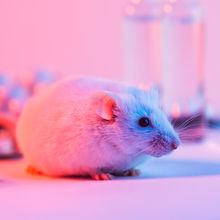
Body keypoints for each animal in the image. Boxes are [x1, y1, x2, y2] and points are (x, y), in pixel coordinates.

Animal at [15, 77, 180, 180]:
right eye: (144, 122)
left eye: (163, 113)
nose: (177, 145)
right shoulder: (81, 161)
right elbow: (92, 169)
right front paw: (104, 176)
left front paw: (134, 172)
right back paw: (32, 169)